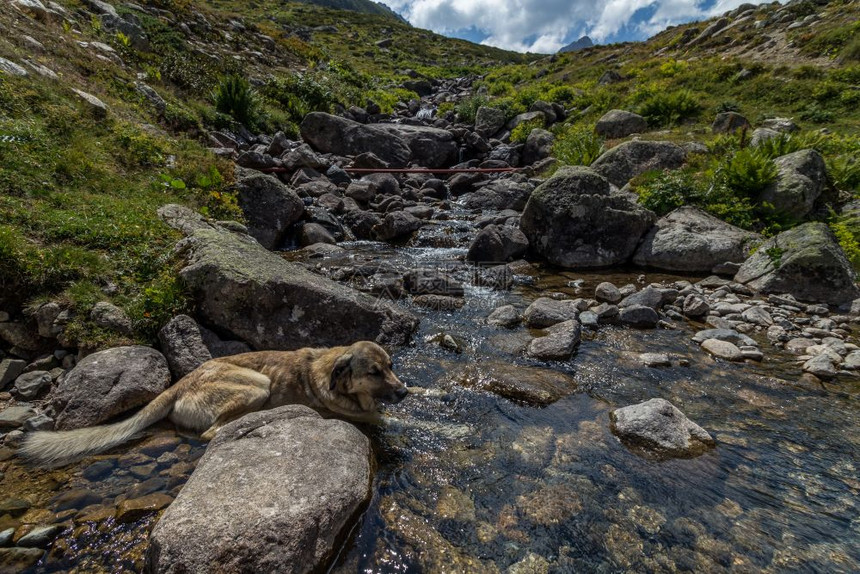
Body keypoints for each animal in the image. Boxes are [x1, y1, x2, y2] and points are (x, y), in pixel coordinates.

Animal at [20, 342, 408, 468]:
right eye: (373, 372)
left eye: (391, 366)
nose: (404, 392)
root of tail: (180, 382)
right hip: (258, 385)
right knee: (211, 433)